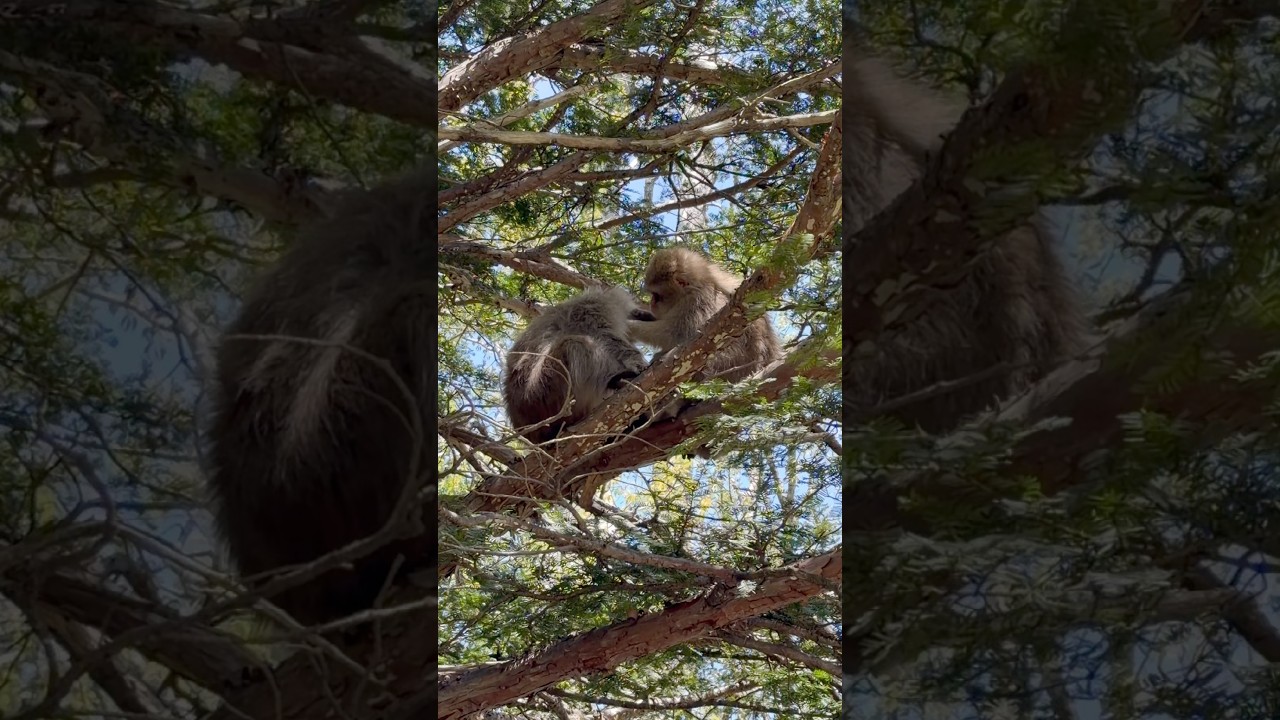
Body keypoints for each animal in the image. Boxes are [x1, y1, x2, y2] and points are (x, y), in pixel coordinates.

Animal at [503, 286, 651, 444]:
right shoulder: (591, 310)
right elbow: (607, 338)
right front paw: (637, 362)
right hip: (546, 390)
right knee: (575, 343)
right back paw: (615, 381)